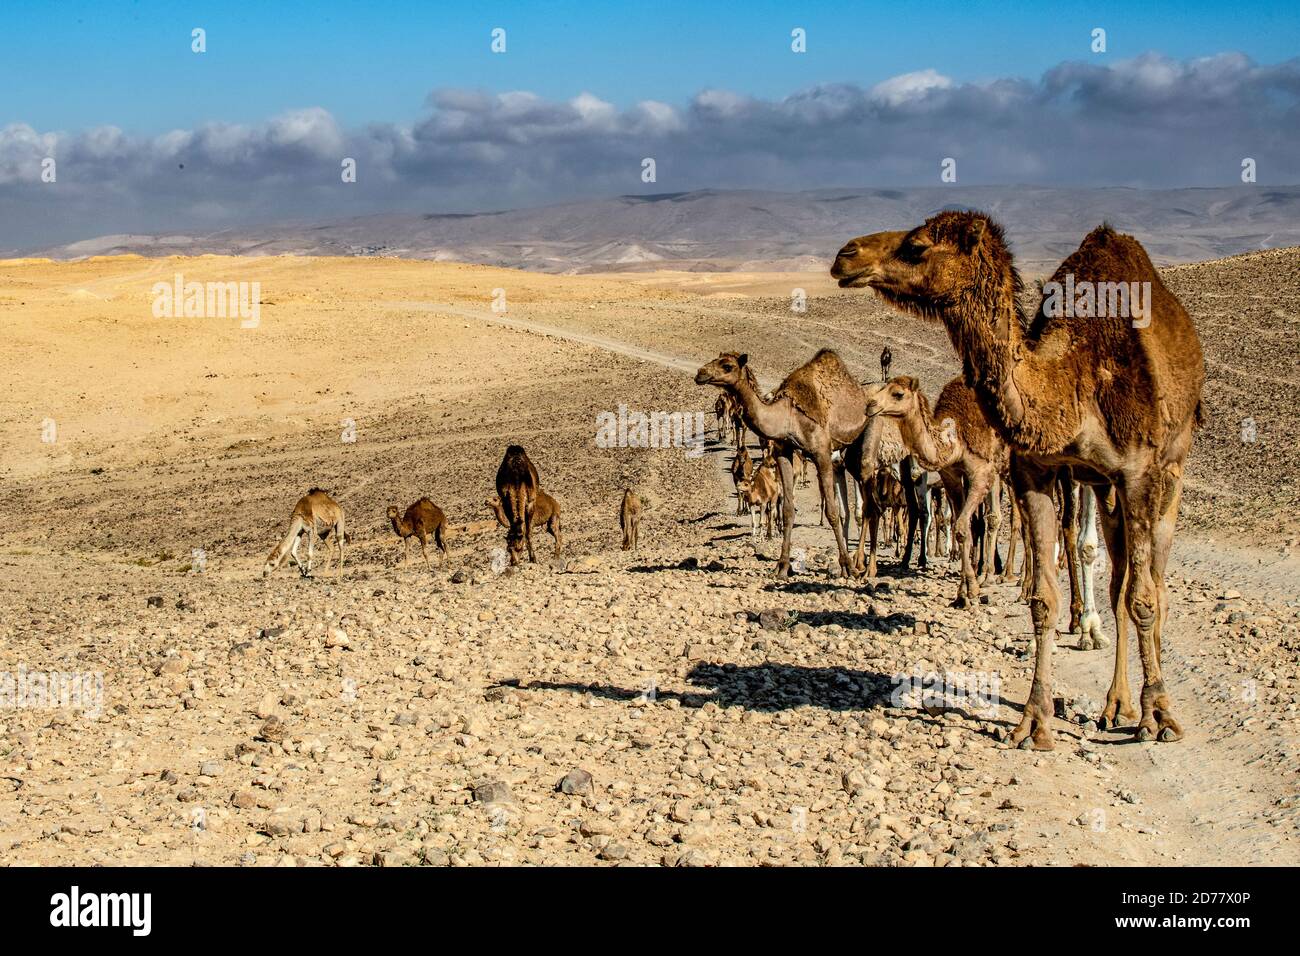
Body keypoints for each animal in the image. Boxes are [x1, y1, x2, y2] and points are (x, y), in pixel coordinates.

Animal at [696, 350, 868, 579]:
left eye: (727, 366)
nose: (700, 373)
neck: (789, 418)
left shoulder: (821, 452)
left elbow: (832, 511)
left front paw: (847, 566)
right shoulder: (784, 451)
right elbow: (787, 510)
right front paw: (782, 567)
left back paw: (859, 563)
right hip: (843, 457)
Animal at [833, 211, 1204, 748]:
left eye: (917, 246)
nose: (846, 254)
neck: (1070, 383)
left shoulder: (1135, 471)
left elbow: (1142, 596)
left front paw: (1158, 715)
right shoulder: (1034, 472)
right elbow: (1044, 600)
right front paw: (1034, 721)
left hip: (1170, 466)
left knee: (1152, 577)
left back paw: (1144, 697)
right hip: (1101, 485)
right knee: (1116, 578)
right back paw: (1115, 703)